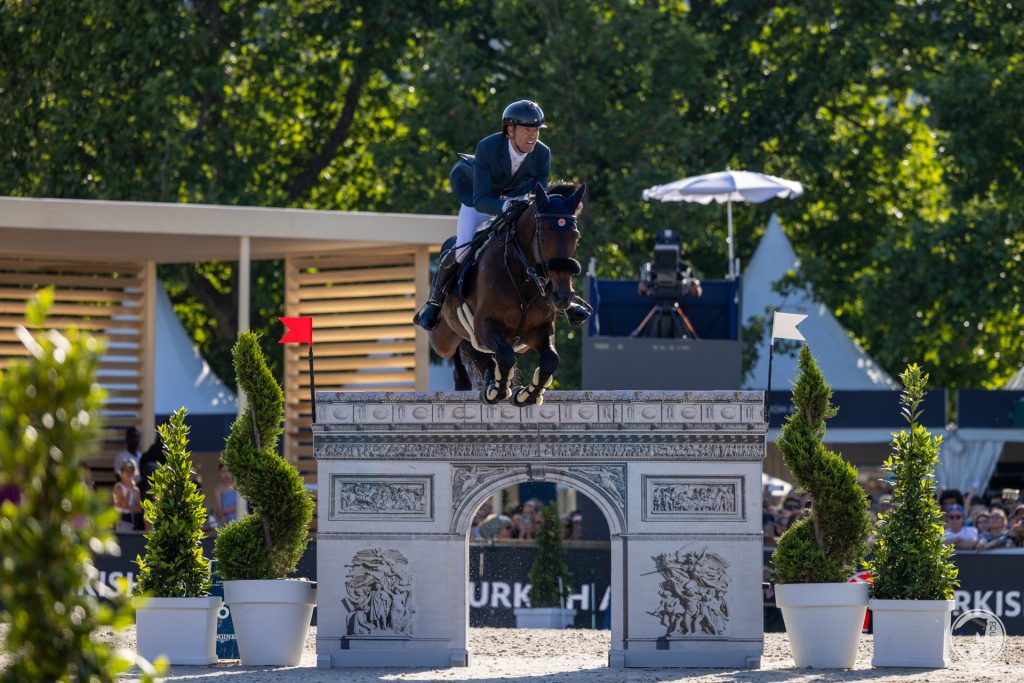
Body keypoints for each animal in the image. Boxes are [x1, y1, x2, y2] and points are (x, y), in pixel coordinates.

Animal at [425, 180, 585, 405]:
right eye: (542, 235)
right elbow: (505, 354)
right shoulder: (483, 326)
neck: (523, 280)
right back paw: (465, 381)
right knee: (455, 348)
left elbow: (550, 359)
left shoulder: (540, 329)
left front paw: (527, 394)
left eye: (576, 237)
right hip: (442, 338)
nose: (562, 296)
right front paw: (498, 391)